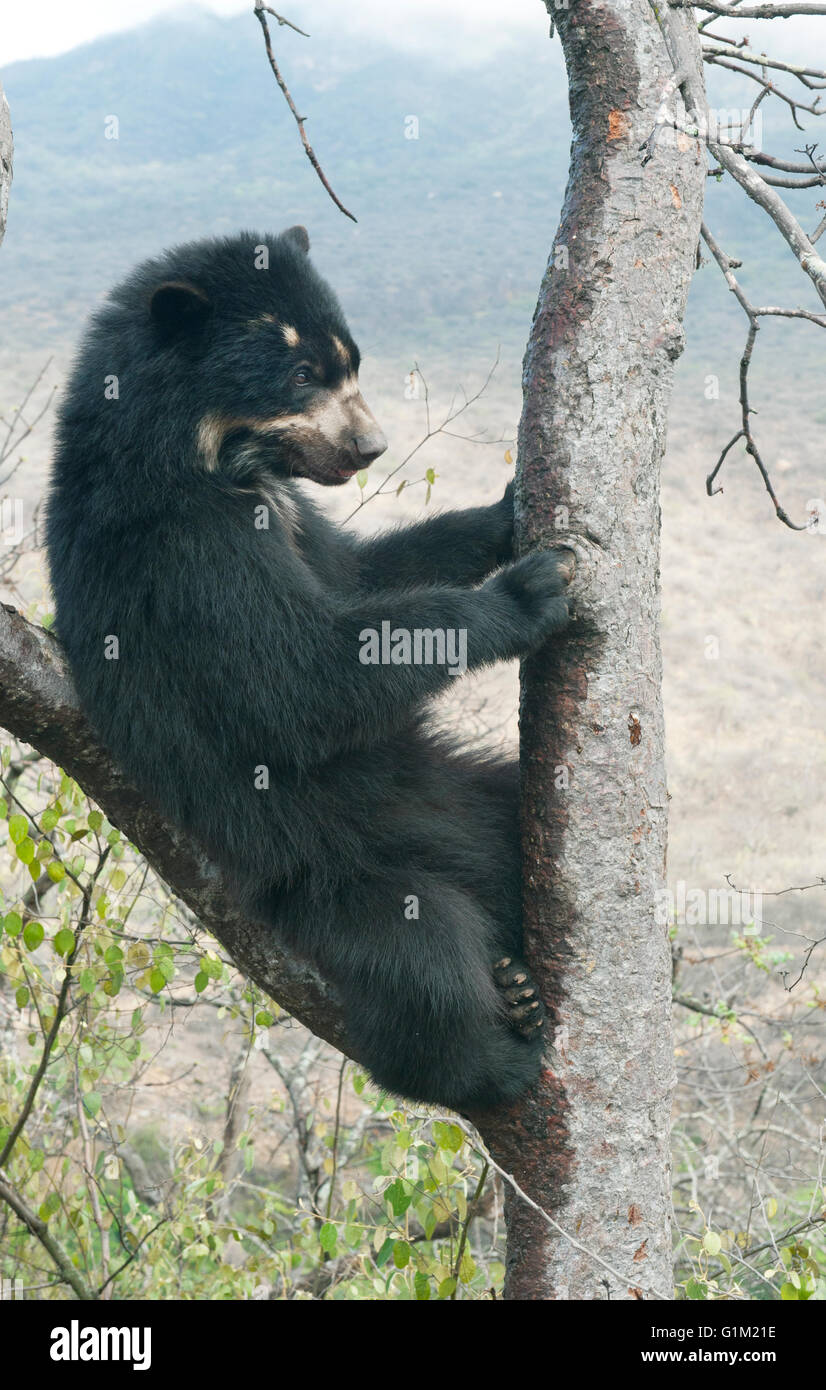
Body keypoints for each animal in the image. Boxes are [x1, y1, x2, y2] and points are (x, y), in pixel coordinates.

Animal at [45, 226, 570, 1111]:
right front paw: (530, 590)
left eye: (351, 360)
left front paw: (505, 515)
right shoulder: (178, 553)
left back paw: (523, 981)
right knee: (425, 969)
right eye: (298, 375)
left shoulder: (290, 514)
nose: (371, 447)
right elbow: (293, 679)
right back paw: (504, 1046)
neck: (217, 465)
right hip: (329, 877)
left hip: (464, 795)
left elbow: (361, 573)